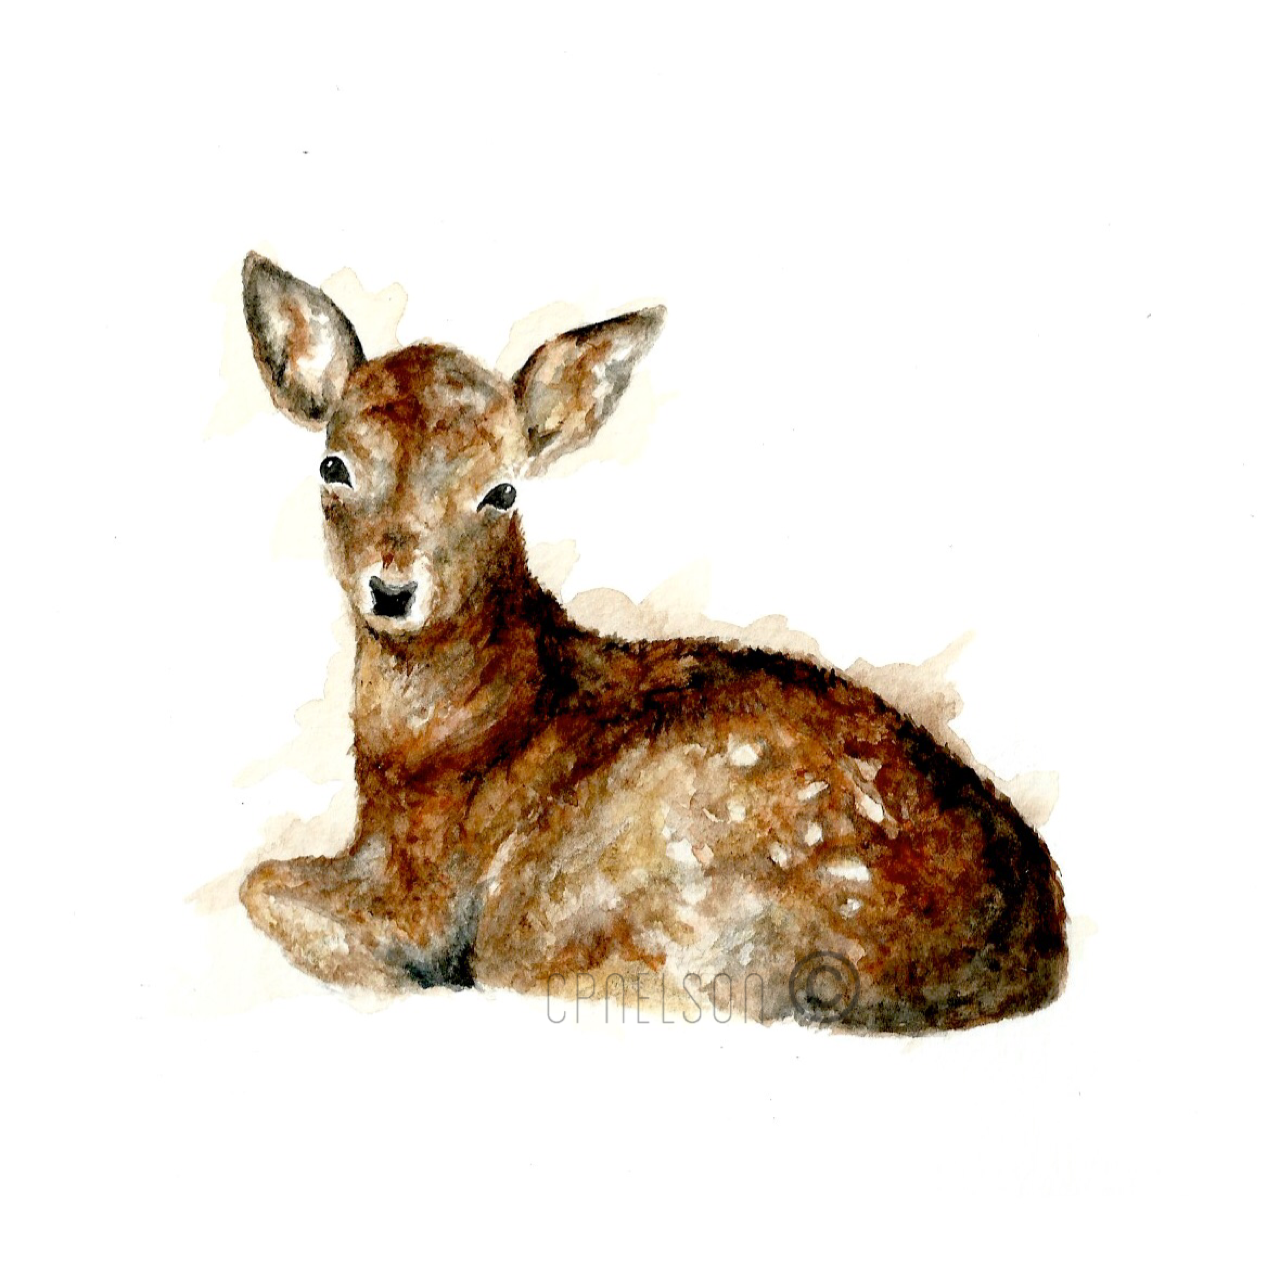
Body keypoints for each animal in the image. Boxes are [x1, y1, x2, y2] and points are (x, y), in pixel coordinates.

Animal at [237, 252, 1068, 1032]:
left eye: (502, 491)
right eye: (334, 466)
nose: (392, 588)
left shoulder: (429, 905)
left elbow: (267, 891)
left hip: (601, 920)